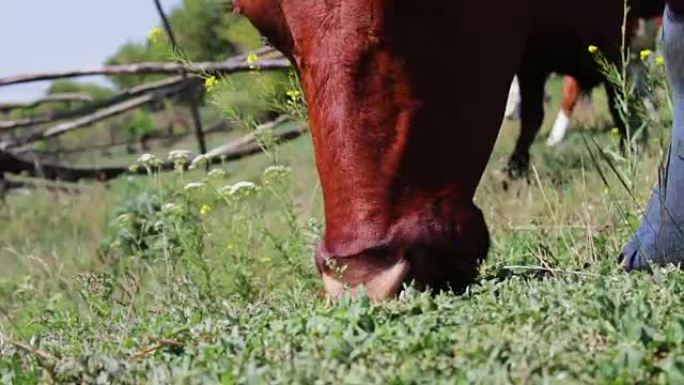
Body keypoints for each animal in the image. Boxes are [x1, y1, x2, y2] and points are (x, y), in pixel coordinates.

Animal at [234, 0, 680, 298]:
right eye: (263, 26)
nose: (363, 278)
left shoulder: (608, 28)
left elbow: (621, 91)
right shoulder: (533, 48)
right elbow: (536, 110)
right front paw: (515, 169)